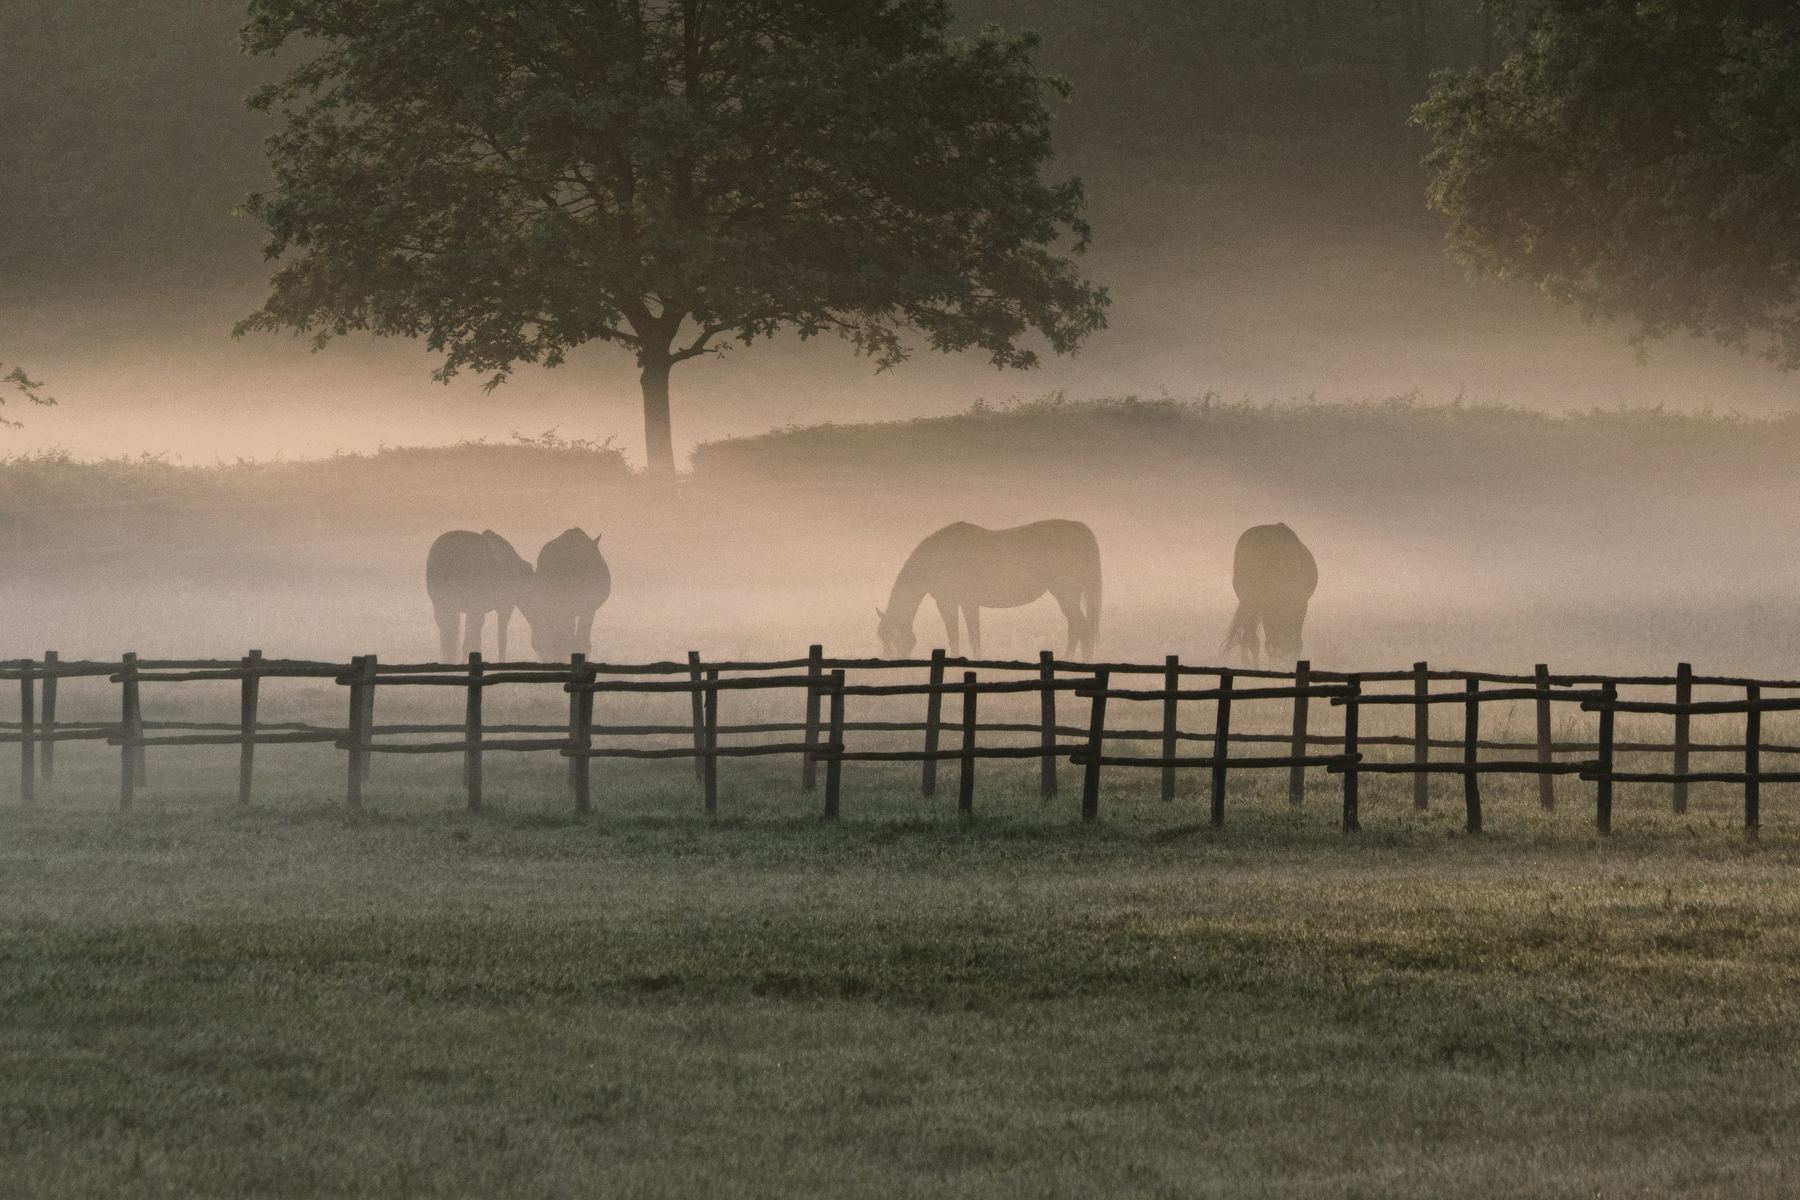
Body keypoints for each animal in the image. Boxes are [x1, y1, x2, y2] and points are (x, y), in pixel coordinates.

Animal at [876, 520, 1102, 659]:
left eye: (892, 641)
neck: (937, 557)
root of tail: (1080, 529)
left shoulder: (953, 603)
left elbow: (962, 635)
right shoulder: (961, 603)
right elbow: (966, 635)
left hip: (1066, 595)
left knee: (1081, 628)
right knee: (1078, 628)